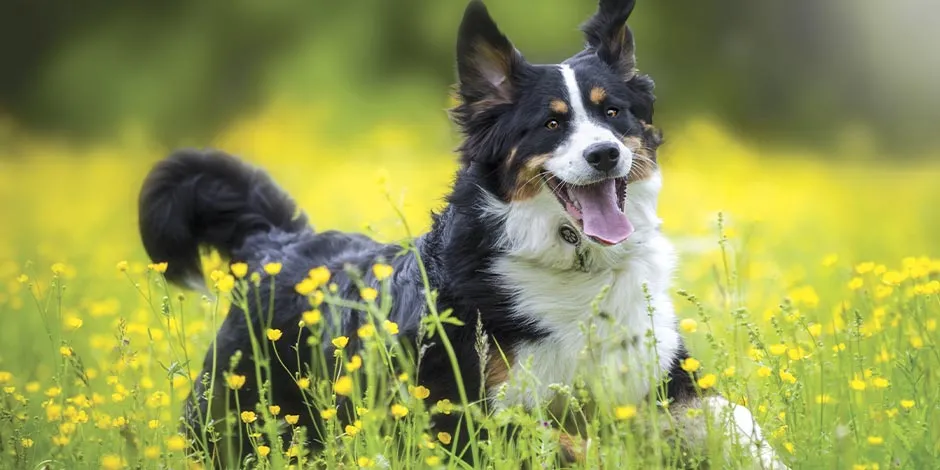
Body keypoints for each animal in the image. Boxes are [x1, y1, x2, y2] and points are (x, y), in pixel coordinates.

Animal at [138, 0, 784, 466]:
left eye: (614, 113)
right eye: (551, 123)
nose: (604, 154)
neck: (573, 270)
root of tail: (276, 243)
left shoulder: (660, 379)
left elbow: (735, 419)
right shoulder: (461, 413)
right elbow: (566, 443)